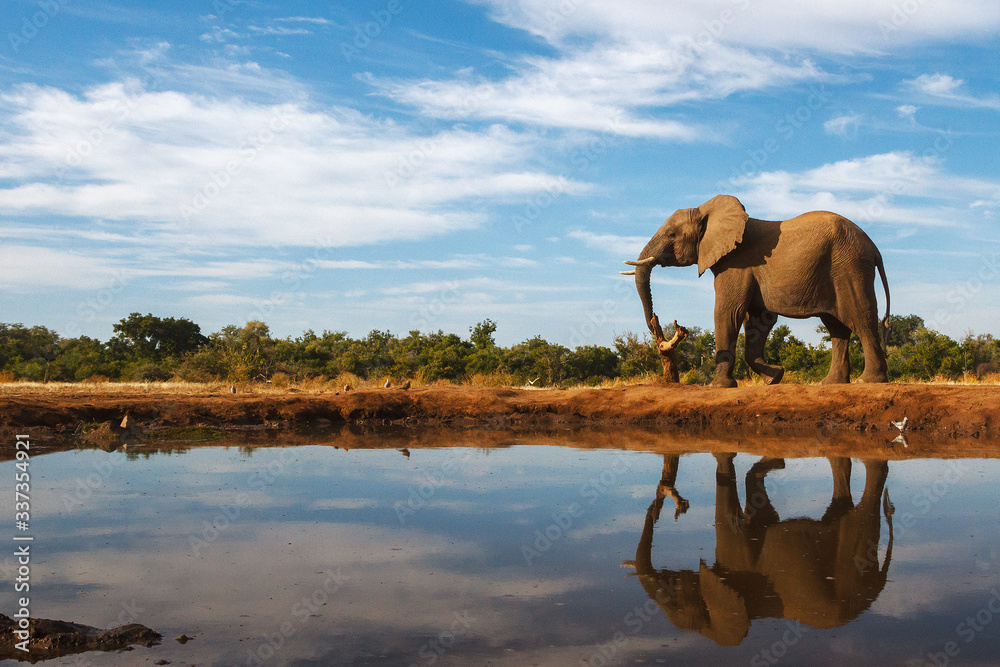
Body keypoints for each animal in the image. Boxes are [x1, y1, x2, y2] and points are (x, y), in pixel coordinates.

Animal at [622, 195, 890, 387]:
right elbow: (758, 320)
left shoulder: (736, 263)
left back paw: (867, 381)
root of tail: (874, 247)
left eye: (671, 234)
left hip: (849, 267)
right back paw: (831, 383)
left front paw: (719, 386)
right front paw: (775, 378)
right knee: (836, 326)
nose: (657, 324)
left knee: (860, 317)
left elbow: (728, 312)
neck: (706, 210)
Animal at [623, 454, 893, 646]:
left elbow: (728, 515)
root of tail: (877, 587)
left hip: (852, 568)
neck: (711, 629)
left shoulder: (737, 561)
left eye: (675, 602)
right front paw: (777, 464)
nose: (675, 504)